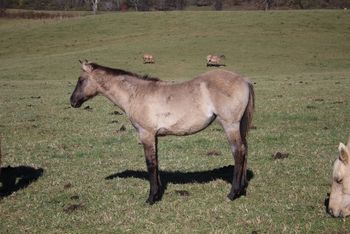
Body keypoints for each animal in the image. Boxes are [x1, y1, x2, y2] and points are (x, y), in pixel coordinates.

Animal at [69, 60, 254, 205]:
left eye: (81, 80)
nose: (72, 101)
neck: (136, 94)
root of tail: (244, 80)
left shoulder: (146, 134)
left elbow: (150, 163)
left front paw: (151, 198)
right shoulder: (154, 136)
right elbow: (156, 161)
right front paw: (157, 194)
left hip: (230, 125)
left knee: (238, 152)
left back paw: (232, 193)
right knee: (245, 150)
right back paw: (242, 190)